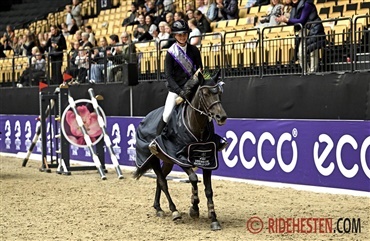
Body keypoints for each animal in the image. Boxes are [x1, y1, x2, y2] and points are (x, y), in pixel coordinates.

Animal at [133, 70, 225, 231]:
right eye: (205, 93)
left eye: (219, 93)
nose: (222, 117)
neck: (197, 127)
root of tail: (145, 118)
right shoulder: (180, 158)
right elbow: (193, 179)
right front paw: (194, 209)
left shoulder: (208, 161)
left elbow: (209, 190)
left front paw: (213, 219)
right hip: (154, 158)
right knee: (162, 181)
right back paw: (174, 211)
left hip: (168, 162)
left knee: (160, 179)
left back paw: (158, 208)